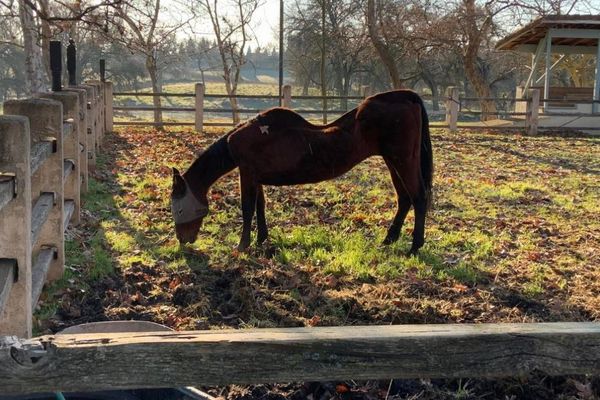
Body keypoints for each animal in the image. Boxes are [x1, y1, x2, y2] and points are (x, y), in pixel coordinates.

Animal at [171, 89, 434, 255]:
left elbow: (247, 209)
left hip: (403, 160)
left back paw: (414, 247)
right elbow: (260, 206)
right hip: (392, 162)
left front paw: (242, 246)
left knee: (418, 197)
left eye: (180, 208)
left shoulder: (247, 175)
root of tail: (406, 97)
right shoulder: (255, 177)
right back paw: (389, 240)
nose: (183, 241)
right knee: (404, 199)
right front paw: (262, 240)